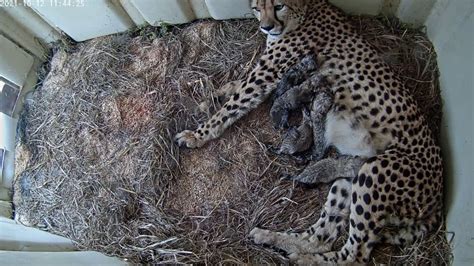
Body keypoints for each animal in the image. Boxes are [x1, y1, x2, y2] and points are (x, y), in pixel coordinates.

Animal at [175, 0, 444, 264]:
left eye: (279, 6)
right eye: (257, 8)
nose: (266, 27)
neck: (304, 11)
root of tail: (439, 196)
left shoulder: (267, 74)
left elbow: (234, 104)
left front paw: (197, 135)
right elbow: (235, 87)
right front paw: (211, 96)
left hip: (375, 172)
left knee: (356, 254)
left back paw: (304, 258)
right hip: (352, 173)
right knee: (320, 238)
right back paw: (274, 239)